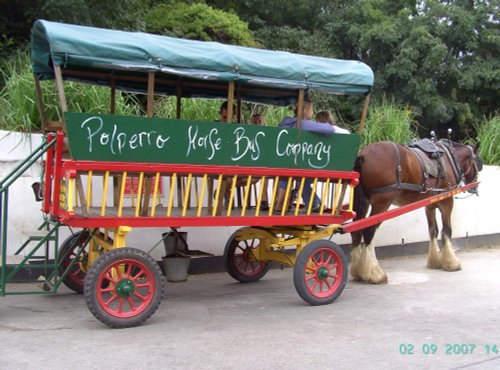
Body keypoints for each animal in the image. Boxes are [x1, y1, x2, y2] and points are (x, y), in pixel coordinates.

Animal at [350, 139, 482, 284]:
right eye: (477, 163)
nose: (475, 185)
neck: (449, 159)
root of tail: (364, 154)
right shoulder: (447, 202)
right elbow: (446, 231)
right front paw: (451, 262)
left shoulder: (429, 206)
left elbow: (433, 230)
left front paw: (435, 261)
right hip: (381, 203)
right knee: (369, 231)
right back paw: (375, 273)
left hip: (364, 201)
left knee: (356, 231)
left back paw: (357, 271)